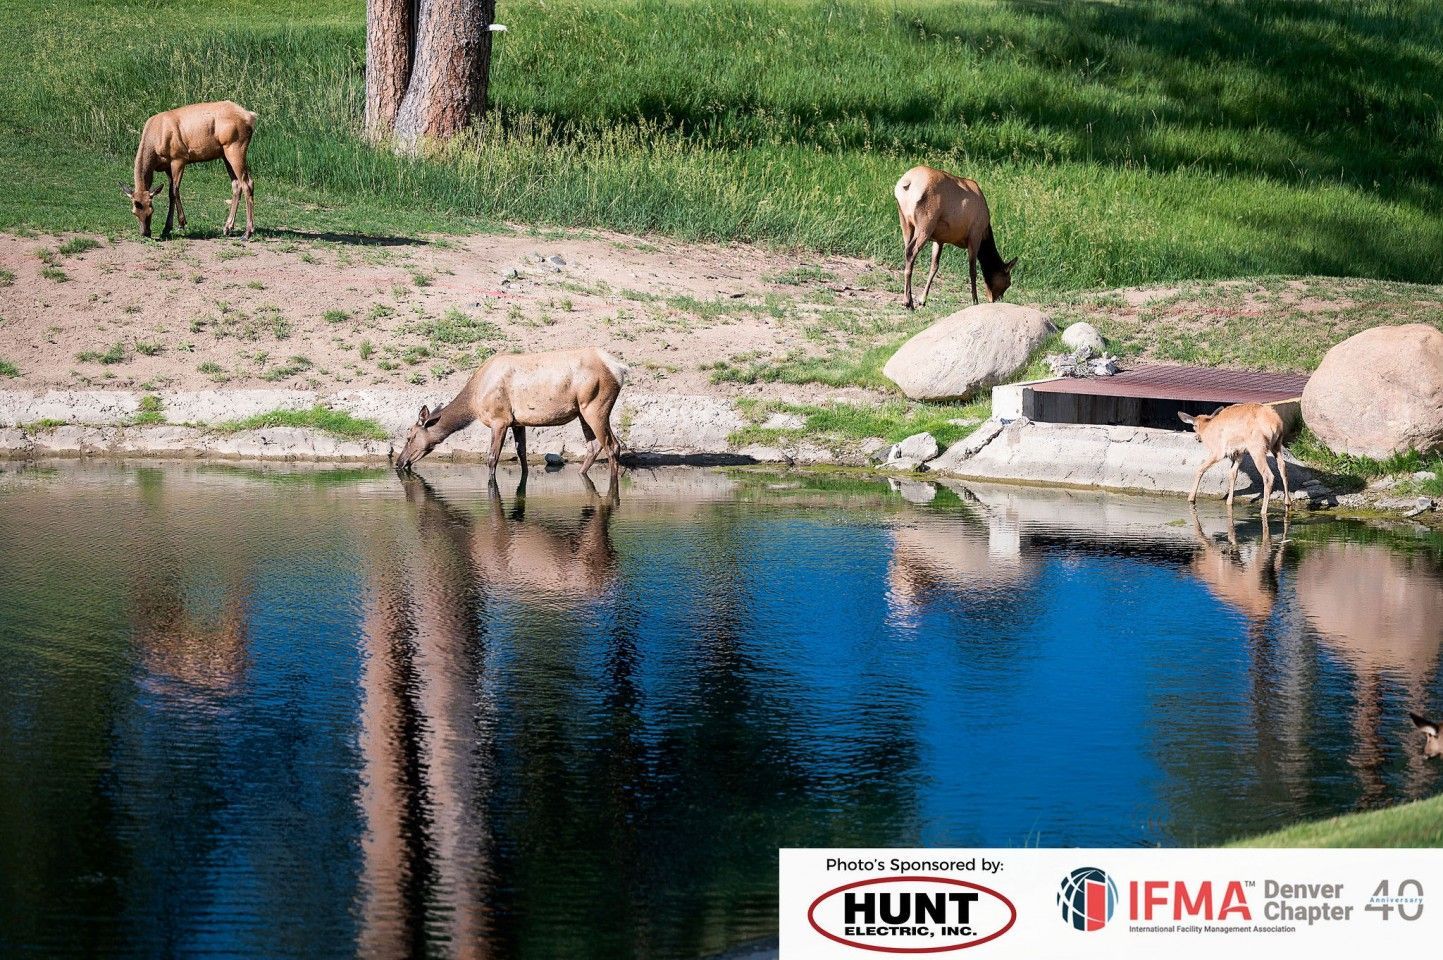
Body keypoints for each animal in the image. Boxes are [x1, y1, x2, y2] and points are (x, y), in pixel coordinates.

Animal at [119, 100, 257, 239]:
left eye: (151, 210)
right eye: (134, 212)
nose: (145, 233)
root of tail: (250, 117)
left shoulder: (179, 157)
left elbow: (174, 191)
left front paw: (178, 224)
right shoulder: (167, 166)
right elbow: (171, 192)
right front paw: (169, 227)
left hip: (236, 147)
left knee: (247, 183)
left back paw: (247, 232)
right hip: (225, 153)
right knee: (236, 184)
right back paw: (228, 227)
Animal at [394, 347, 627, 476]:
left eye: (409, 436)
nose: (398, 462)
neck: (474, 401)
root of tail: (620, 369)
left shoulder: (500, 419)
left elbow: (492, 458)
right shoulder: (518, 421)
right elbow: (521, 454)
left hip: (596, 406)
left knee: (612, 445)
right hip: (582, 410)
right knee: (594, 445)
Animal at [894, 165, 1017, 310]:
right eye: (1008, 282)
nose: (997, 299)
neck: (986, 232)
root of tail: (906, 182)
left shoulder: (939, 239)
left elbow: (934, 266)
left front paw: (922, 300)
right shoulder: (975, 235)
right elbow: (972, 270)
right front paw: (975, 301)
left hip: (905, 221)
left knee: (906, 250)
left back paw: (908, 300)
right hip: (926, 223)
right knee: (911, 251)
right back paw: (908, 302)